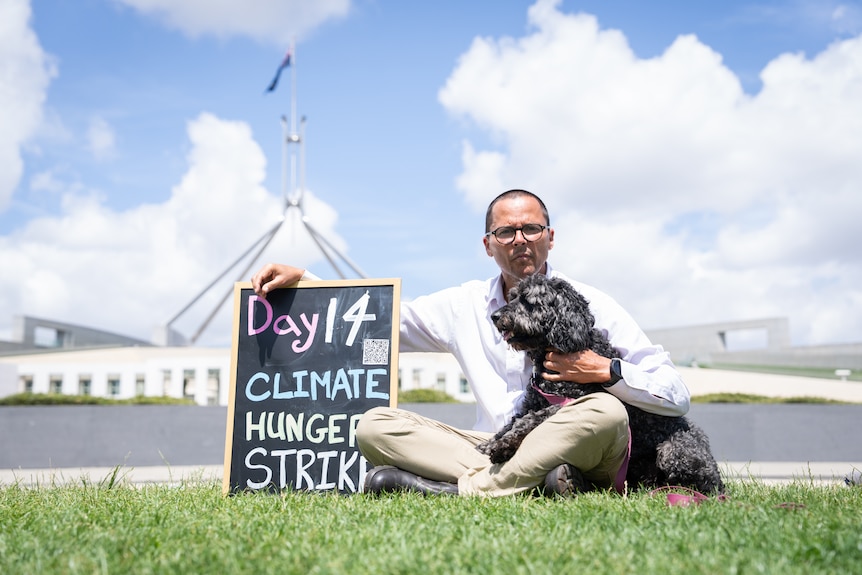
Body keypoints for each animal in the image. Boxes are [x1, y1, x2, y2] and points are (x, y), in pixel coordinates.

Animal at [476, 274, 724, 496]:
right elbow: (513, 422)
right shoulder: (532, 403)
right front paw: (491, 442)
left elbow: (530, 420)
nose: (495, 316)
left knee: (703, 484)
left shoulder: (565, 402)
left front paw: (502, 446)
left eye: (528, 300)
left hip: (673, 451)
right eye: (513, 296)